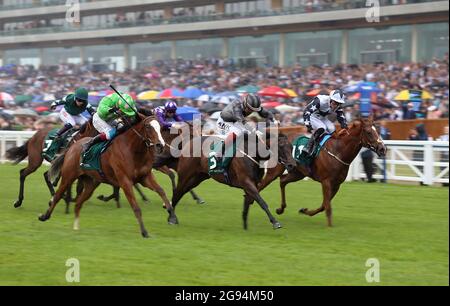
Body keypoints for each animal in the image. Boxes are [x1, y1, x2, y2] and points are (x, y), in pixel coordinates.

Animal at [39, 115, 178, 237]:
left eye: (160, 127)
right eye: (148, 126)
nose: (160, 145)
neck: (132, 150)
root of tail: (72, 147)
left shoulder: (145, 177)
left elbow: (161, 191)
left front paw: (172, 216)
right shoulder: (125, 181)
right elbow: (136, 207)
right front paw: (144, 232)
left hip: (91, 183)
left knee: (78, 203)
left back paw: (76, 227)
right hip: (68, 176)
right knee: (57, 196)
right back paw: (45, 216)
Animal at [256, 117, 386, 227]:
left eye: (377, 130)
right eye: (369, 132)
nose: (382, 149)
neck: (338, 151)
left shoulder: (336, 184)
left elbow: (324, 205)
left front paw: (305, 211)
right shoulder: (326, 182)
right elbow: (327, 205)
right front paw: (329, 226)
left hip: (298, 173)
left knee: (282, 180)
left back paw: (280, 209)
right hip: (275, 170)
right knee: (261, 185)